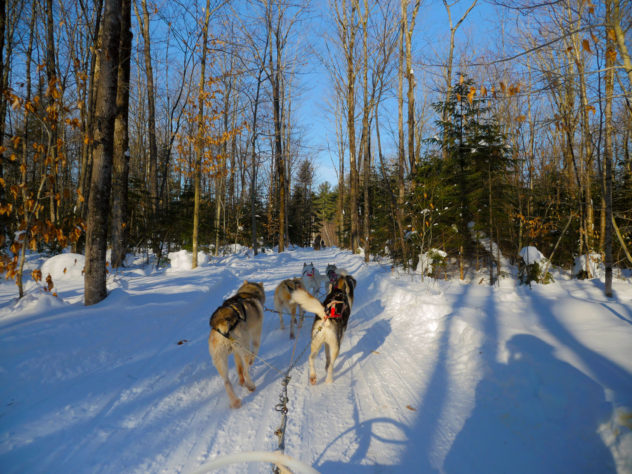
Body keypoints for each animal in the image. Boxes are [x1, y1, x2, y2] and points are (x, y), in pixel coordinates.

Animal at [209, 280, 266, 410]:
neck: (247, 294)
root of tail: (223, 325)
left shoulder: (236, 353)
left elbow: (239, 368)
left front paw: (240, 381)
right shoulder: (256, 336)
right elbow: (255, 351)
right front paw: (252, 361)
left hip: (220, 360)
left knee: (227, 382)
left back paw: (235, 401)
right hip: (244, 348)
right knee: (245, 370)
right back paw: (250, 385)